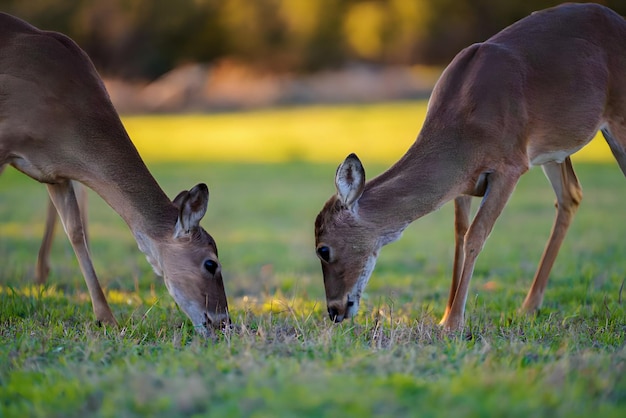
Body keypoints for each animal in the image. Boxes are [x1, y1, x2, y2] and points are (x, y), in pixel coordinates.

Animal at [312, 2, 624, 330]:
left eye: (323, 249)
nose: (334, 310)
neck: (462, 127)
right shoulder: (465, 183)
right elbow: (459, 237)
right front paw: (446, 314)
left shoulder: (510, 164)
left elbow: (476, 235)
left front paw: (453, 322)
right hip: (555, 150)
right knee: (570, 195)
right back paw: (529, 307)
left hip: (617, 117)